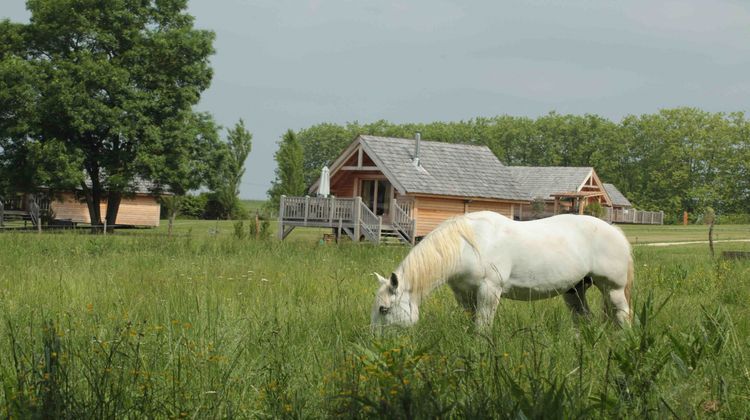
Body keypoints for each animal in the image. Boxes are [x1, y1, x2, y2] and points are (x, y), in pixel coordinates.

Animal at [370, 212, 636, 330]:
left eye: (384, 309)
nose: (376, 344)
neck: (467, 245)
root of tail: (615, 231)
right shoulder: (465, 294)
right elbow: (473, 321)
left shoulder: (489, 290)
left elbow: (483, 324)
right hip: (574, 290)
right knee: (584, 318)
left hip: (613, 289)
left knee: (623, 315)